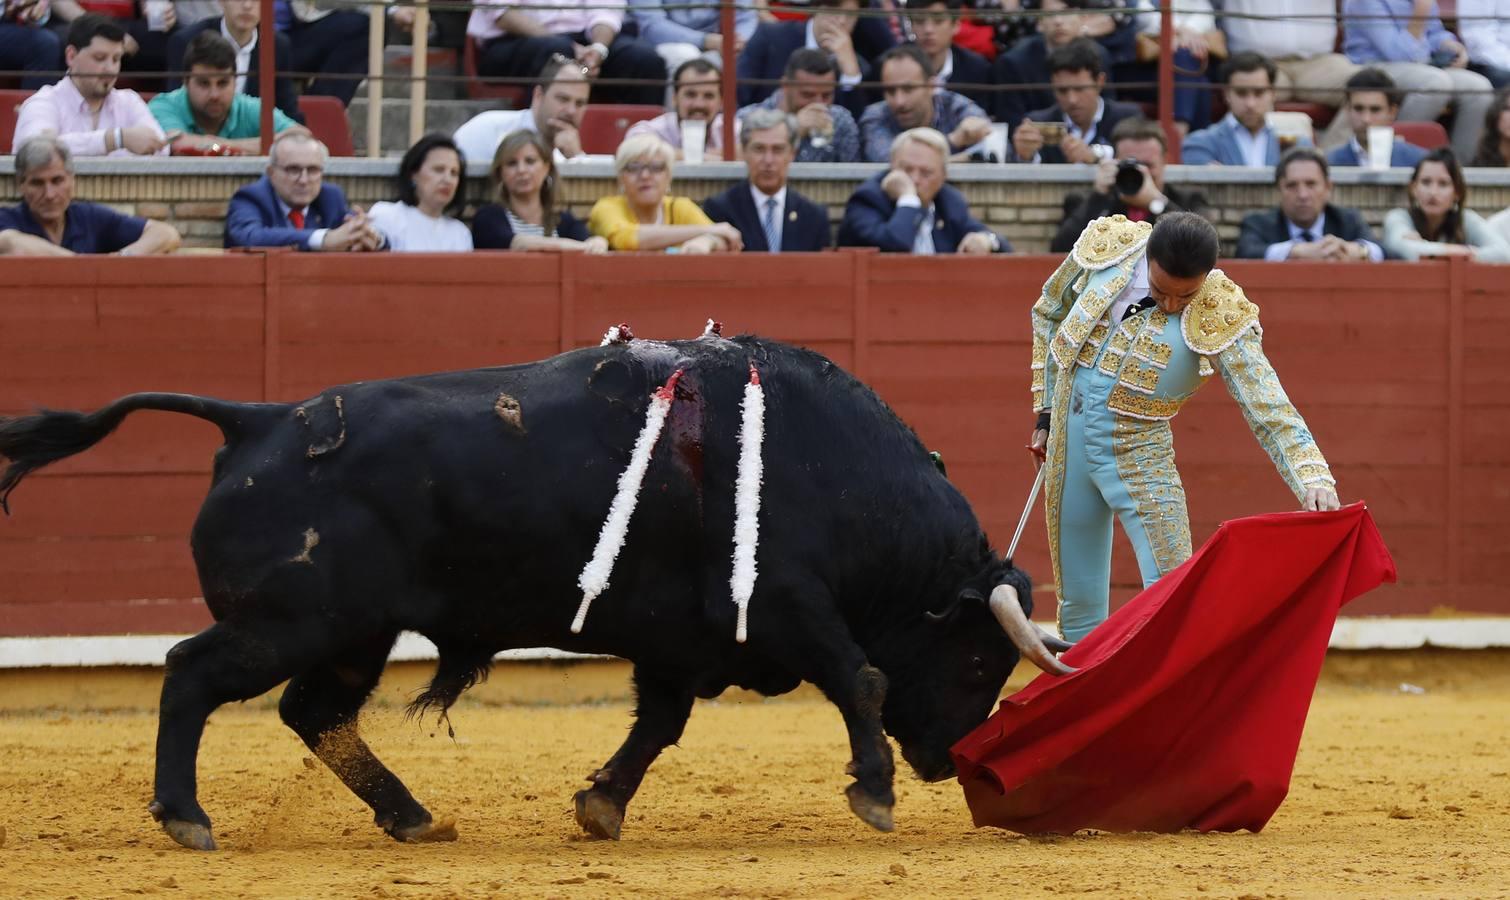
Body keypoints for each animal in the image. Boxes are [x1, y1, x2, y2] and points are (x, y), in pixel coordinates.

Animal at [0, 332, 1069, 851]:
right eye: (981, 656)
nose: (943, 762)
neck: (835, 473)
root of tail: (254, 420)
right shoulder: (785, 606)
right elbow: (861, 679)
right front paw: (873, 793)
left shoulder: (682, 644)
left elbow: (659, 725)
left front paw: (599, 807)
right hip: (290, 621)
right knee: (189, 675)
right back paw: (188, 817)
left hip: (352, 634)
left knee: (313, 712)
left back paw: (413, 817)